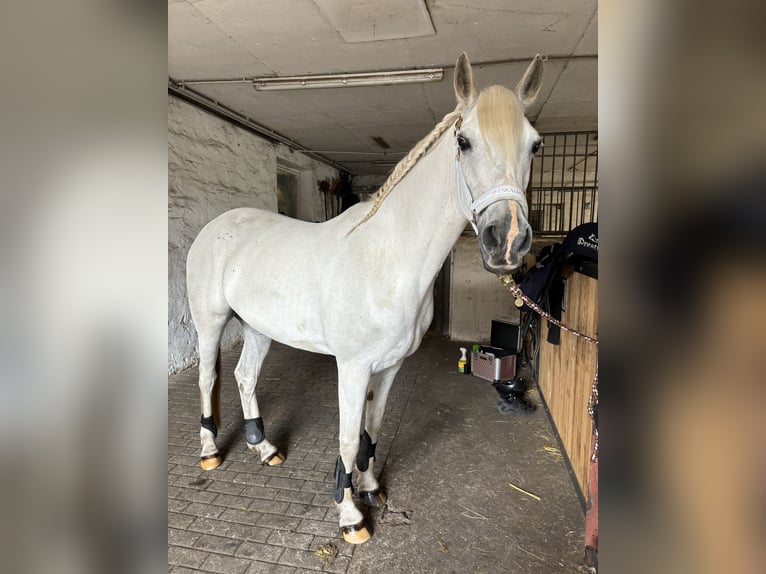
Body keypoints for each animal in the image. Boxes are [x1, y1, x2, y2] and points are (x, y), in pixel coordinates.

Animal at [186, 52, 544, 544]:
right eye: (464, 141)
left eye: (535, 146)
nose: (506, 241)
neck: (386, 259)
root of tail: (216, 227)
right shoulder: (352, 368)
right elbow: (348, 436)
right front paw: (350, 515)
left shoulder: (390, 366)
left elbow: (372, 429)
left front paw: (372, 488)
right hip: (210, 323)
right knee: (207, 379)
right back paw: (209, 452)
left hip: (259, 328)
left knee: (243, 376)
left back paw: (265, 448)